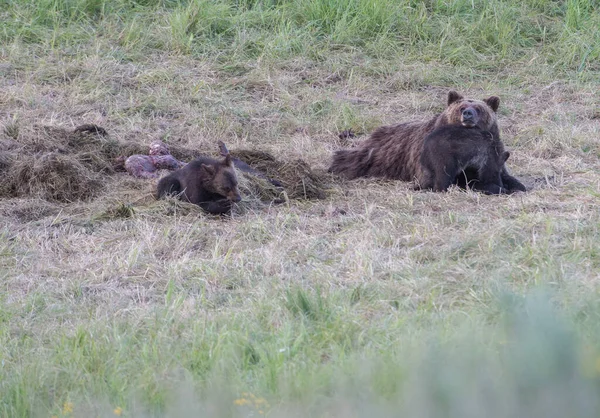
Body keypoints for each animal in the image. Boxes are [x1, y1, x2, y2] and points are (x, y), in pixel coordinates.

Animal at [328, 90, 524, 194]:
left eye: (478, 108)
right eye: (461, 107)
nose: (467, 113)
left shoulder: (494, 152)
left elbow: (505, 174)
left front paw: (516, 185)